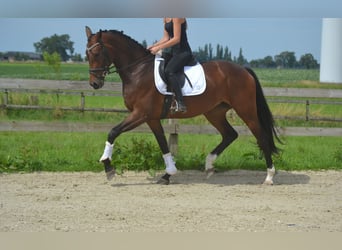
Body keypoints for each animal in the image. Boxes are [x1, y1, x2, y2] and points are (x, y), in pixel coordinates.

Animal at [85, 26, 280, 185]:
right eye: (87, 56)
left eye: (97, 53)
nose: (94, 84)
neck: (138, 71)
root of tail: (243, 69)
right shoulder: (151, 118)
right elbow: (163, 144)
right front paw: (168, 174)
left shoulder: (140, 114)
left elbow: (113, 132)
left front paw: (108, 167)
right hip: (214, 112)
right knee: (230, 134)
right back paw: (209, 165)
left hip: (245, 110)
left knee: (261, 136)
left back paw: (269, 176)